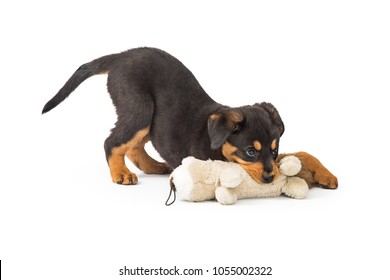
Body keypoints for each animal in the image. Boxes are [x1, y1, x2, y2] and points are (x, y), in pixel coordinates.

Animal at [41, 47, 336, 188]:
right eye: (250, 152)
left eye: (274, 151)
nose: (270, 178)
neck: (218, 143)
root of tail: (121, 57)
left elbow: (303, 153)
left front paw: (325, 175)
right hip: (139, 109)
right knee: (113, 142)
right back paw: (121, 174)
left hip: (151, 121)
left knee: (134, 146)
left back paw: (154, 167)